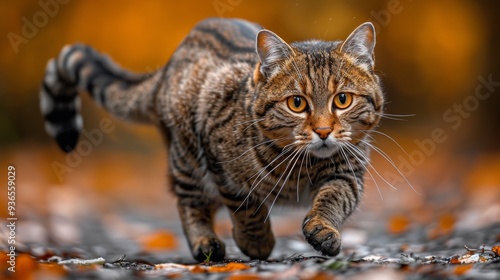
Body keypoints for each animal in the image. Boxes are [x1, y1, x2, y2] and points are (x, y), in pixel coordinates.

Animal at [40, 18, 382, 262]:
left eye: (342, 100)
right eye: (297, 103)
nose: (323, 131)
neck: (301, 167)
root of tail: (168, 66)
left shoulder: (347, 172)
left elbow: (333, 198)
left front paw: (323, 229)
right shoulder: (221, 163)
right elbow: (247, 209)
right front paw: (256, 242)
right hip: (188, 160)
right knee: (189, 202)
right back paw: (206, 242)